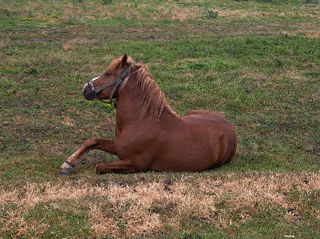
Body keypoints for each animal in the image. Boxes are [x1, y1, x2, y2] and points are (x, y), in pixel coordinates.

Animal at [58, 55, 238, 175]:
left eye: (108, 74)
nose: (85, 88)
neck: (141, 121)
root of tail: (230, 128)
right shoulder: (118, 146)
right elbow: (92, 141)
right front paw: (67, 164)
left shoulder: (135, 164)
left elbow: (100, 166)